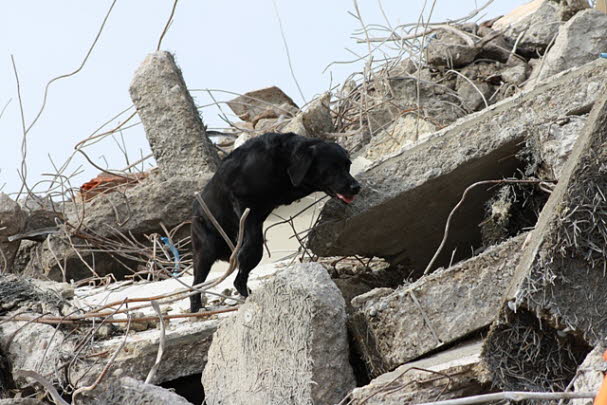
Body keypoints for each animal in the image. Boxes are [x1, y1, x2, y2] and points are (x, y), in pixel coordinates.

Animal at [190, 131, 360, 310]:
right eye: (332, 168)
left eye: (348, 165)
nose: (356, 187)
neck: (284, 162)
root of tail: (194, 211)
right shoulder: (242, 202)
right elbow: (251, 248)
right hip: (206, 251)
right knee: (197, 284)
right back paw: (196, 307)